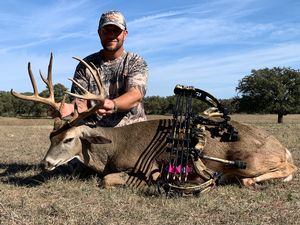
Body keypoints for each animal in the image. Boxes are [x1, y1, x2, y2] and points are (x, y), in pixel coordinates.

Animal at [9, 53, 298, 192]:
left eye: (69, 139)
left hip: (250, 160)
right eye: (51, 137)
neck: (112, 149)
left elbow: (106, 180)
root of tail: (283, 148)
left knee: (283, 170)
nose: (45, 163)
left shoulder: (146, 166)